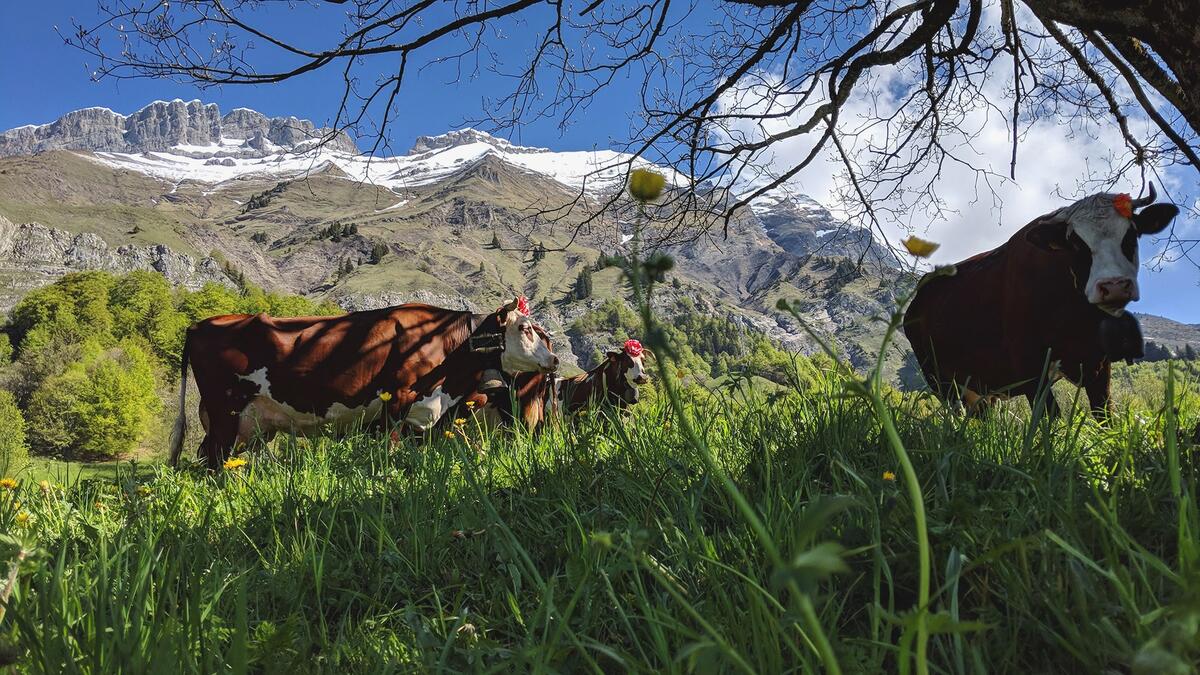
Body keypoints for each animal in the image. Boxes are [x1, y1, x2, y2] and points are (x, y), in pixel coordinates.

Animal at [171, 295, 559, 468]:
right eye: (526, 328)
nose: (555, 360)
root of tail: (199, 325)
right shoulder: (398, 401)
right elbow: (392, 451)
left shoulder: (430, 417)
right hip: (225, 411)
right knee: (212, 459)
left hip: (249, 425)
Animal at [902, 183, 1176, 415]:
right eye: (1076, 244)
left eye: (1131, 235)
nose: (1114, 285)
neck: (1076, 316)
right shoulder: (1028, 365)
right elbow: (1049, 416)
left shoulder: (1098, 362)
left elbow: (1104, 413)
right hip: (940, 380)